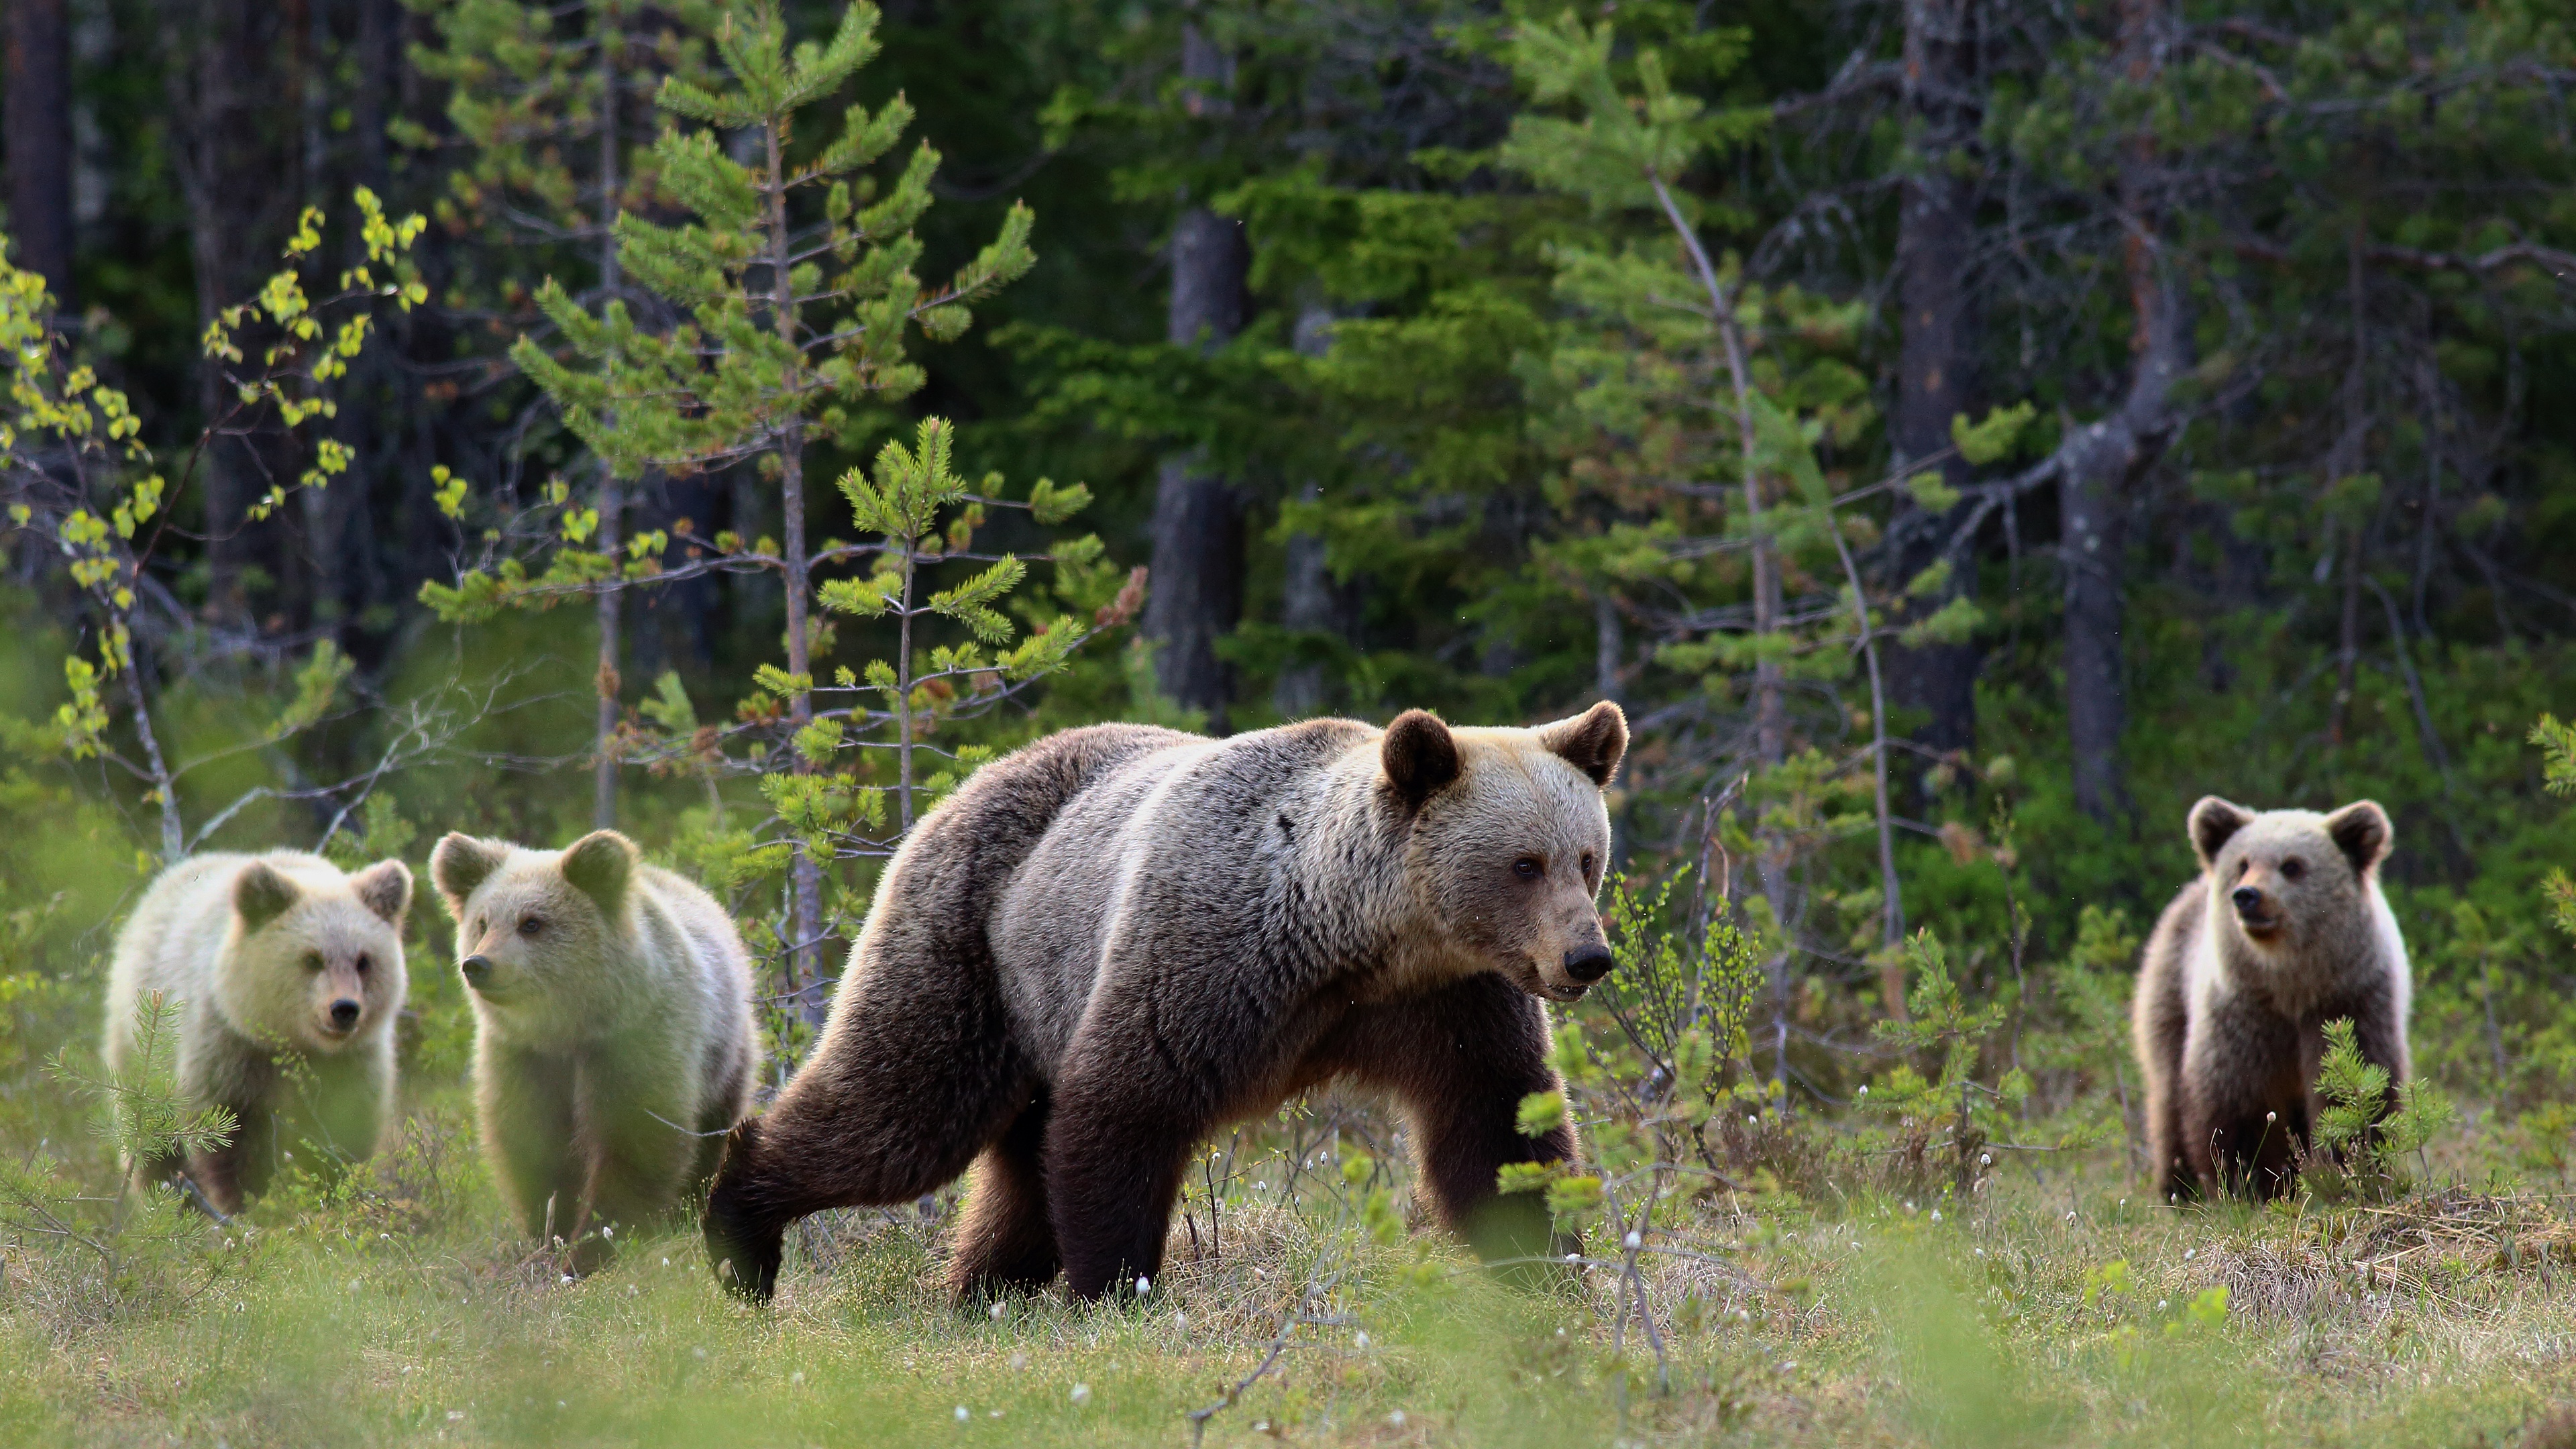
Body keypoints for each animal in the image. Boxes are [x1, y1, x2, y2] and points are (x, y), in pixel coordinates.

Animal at [700, 701, 1627, 1299]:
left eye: (1586, 857)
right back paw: (740, 1236)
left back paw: (985, 1288)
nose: (1588, 957)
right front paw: (1117, 1287)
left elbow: (1496, 1126)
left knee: (1011, 1166)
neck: (1357, 941)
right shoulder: (1210, 958)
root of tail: (961, 787)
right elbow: (1127, 1106)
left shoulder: (1451, 1001)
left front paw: (1550, 1264)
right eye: (1523, 864)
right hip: (971, 951)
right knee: (900, 1112)